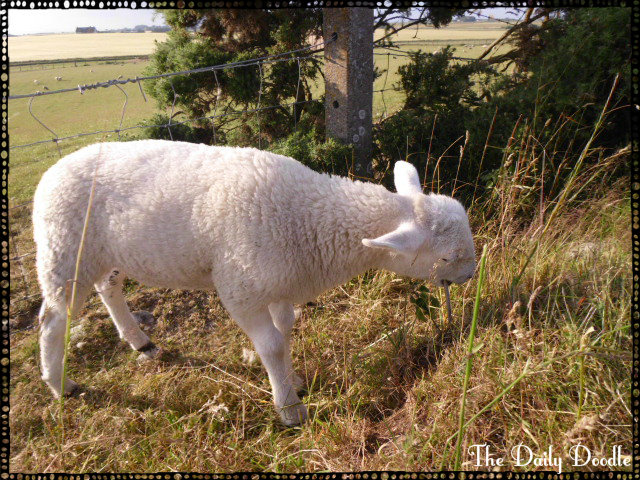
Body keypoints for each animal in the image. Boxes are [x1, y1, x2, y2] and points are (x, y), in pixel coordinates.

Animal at [33, 140, 476, 425]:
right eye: (445, 257)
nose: (471, 275)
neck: (311, 216)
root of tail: (52, 170)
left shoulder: (280, 285)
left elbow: (286, 330)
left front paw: (291, 380)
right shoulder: (240, 289)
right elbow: (272, 345)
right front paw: (290, 409)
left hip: (109, 254)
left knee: (109, 289)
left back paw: (141, 342)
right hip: (64, 248)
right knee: (53, 320)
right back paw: (59, 384)